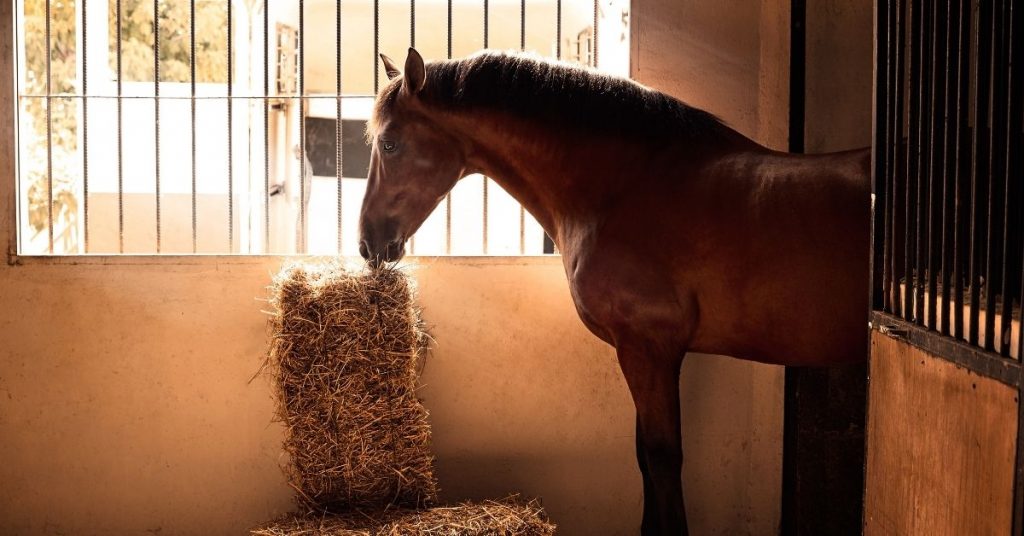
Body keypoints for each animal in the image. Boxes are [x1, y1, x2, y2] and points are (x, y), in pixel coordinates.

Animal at [357, 48, 871, 535]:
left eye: (390, 143)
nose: (367, 242)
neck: (624, 189)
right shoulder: (643, 352)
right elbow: (644, 457)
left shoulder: (648, 348)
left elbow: (662, 457)